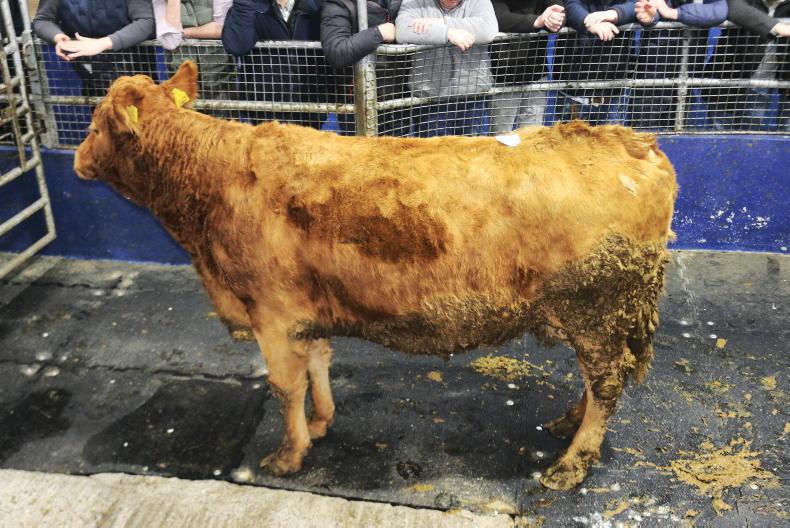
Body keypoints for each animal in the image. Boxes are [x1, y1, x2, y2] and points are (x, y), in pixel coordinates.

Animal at [74, 61, 677, 491]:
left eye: (98, 123)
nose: (77, 159)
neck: (214, 181)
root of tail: (632, 141)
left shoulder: (272, 314)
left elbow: (284, 386)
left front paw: (288, 455)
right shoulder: (304, 311)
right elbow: (318, 363)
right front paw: (321, 424)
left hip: (596, 306)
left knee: (606, 383)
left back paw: (570, 464)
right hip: (599, 314)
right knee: (598, 380)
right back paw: (567, 424)